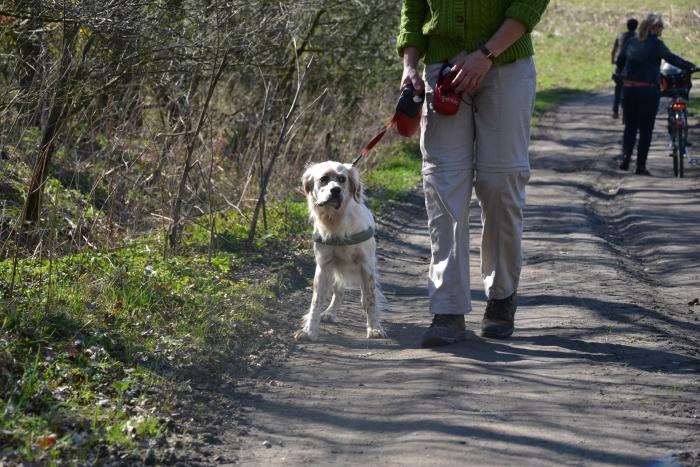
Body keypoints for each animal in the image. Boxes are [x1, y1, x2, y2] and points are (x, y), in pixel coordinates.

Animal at [292, 160, 386, 340]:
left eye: (343, 179)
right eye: (323, 179)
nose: (335, 190)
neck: (336, 221)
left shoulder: (366, 265)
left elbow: (371, 298)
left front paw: (374, 328)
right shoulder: (324, 266)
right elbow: (316, 301)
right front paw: (309, 330)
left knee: (365, 295)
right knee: (339, 292)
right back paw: (329, 312)